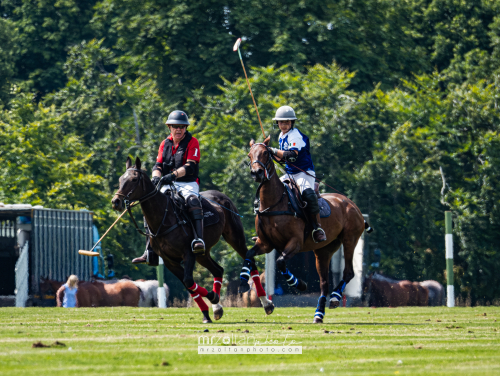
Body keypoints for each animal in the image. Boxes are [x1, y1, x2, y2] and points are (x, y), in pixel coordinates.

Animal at [113, 156, 254, 324]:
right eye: (121, 179)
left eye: (134, 179)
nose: (116, 201)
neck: (165, 217)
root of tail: (222, 196)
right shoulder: (169, 261)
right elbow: (189, 285)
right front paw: (208, 309)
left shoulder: (188, 253)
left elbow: (188, 281)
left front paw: (211, 299)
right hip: (203, 254)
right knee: (218, 269)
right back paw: (217, 308)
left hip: (234, 238)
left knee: (248, 257)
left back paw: (266, 304)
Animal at [240, 138, 370, 324]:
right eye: (249, 154)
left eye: (265, 153)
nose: (256, 173)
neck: (275, 203)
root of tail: (352, 204)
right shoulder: (265, 244)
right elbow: (250, 254)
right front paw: (243, 279)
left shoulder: (295, 242)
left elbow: (280, 261)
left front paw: (299, 284)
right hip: (324, 250)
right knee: (324, 283)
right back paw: (319, 314)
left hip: (350, 239)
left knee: (349, 272)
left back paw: (335, 298)